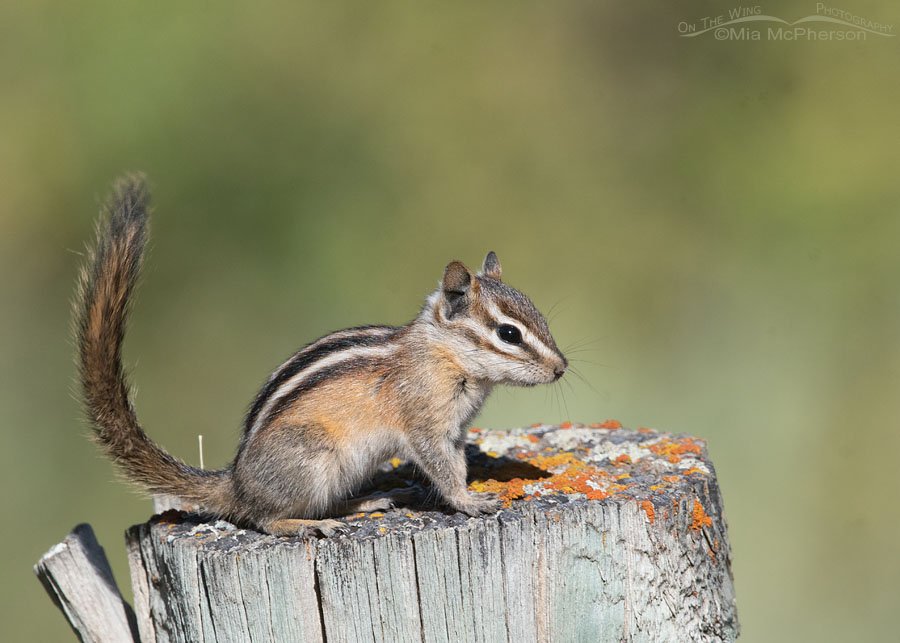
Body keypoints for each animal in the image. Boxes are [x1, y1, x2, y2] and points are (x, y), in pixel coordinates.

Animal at [74, 175, 568, 536]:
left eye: (540, 317)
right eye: (508, 333)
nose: (561, 368)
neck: (441, 353)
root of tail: (237, 482)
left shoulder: (456, 429)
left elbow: (457, 462)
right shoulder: (425, 424)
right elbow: (442, 469)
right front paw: (470, 501)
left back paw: (369, 500)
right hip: (313, 460)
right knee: (263, 519)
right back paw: (304, 525)